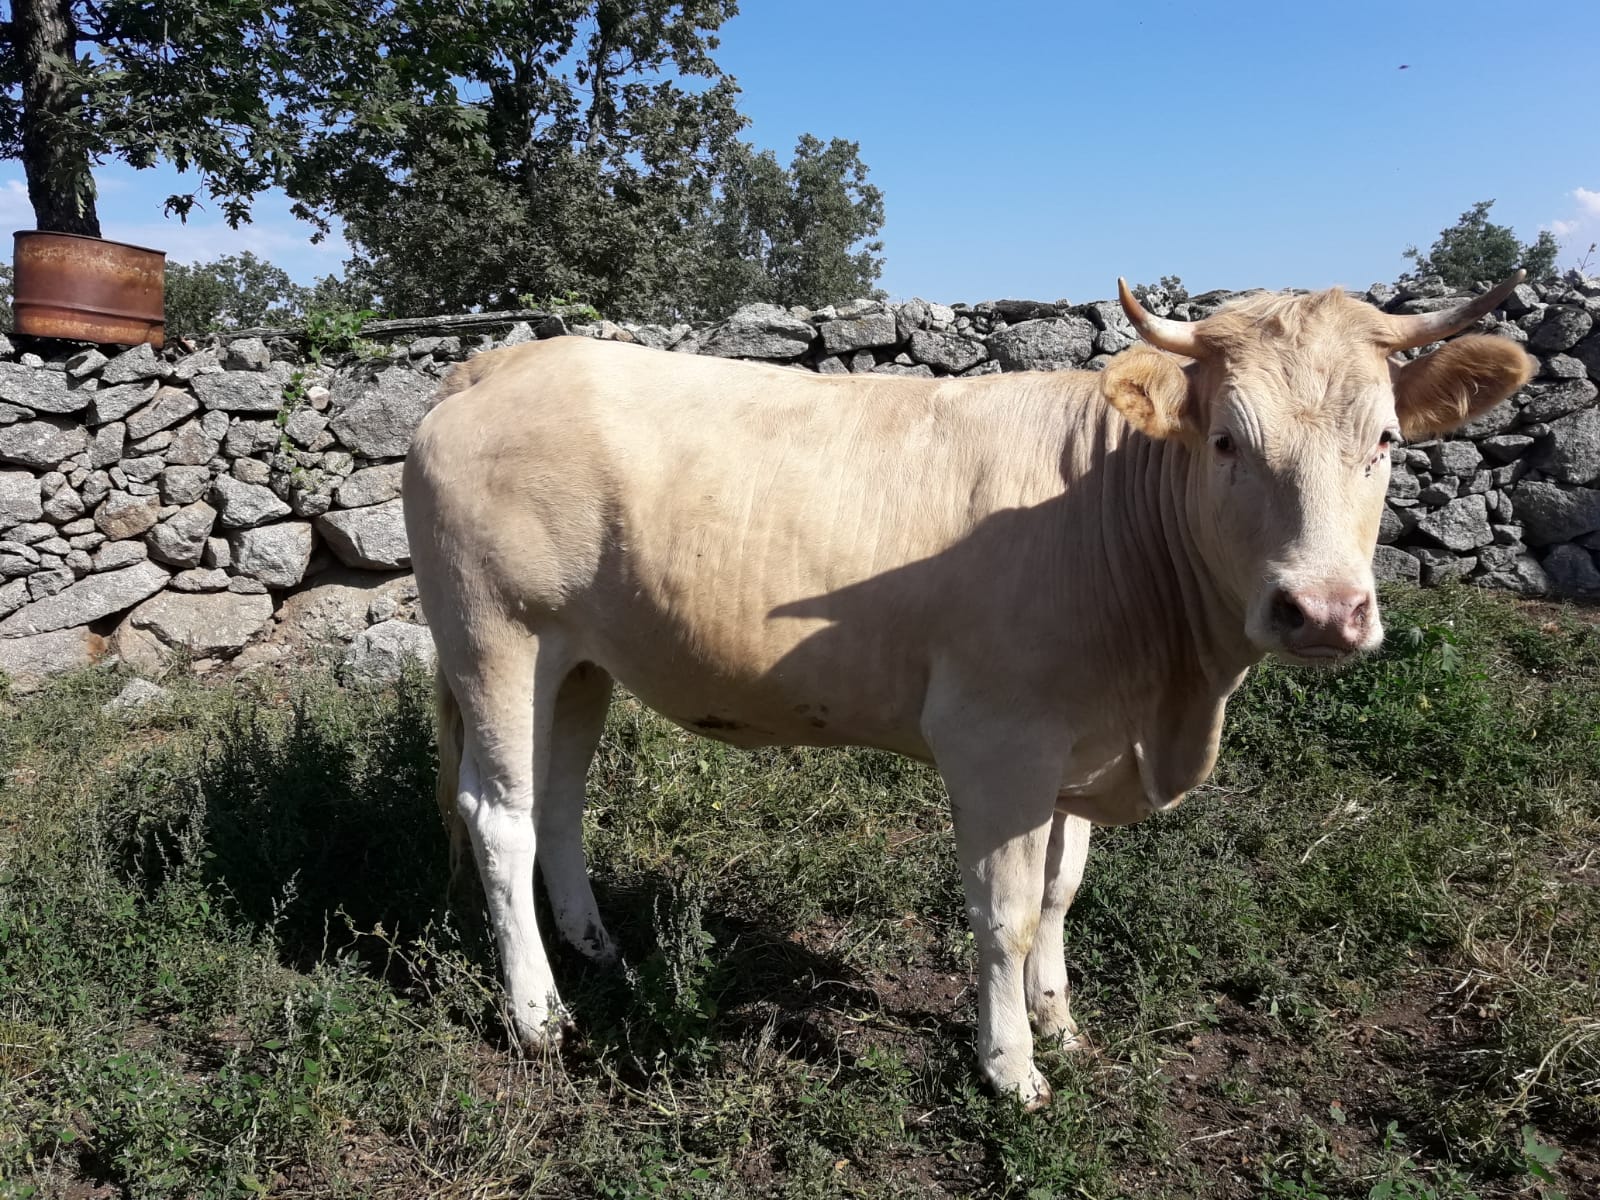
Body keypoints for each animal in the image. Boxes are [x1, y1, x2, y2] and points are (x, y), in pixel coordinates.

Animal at [402, 273, 1532, 1107]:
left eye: (1384, 440)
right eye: (1226, 441)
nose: (1325, 611)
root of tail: (499, 360)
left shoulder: (1079, 749)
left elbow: (1062, 891)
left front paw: (1058, 1024)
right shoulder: (998, 743)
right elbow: (1006, 912)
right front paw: (1009, 1066)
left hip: (581, 660)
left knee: (557, 800)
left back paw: (598, 950)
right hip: (496, 635)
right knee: (496, 814)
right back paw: (539, 1016)